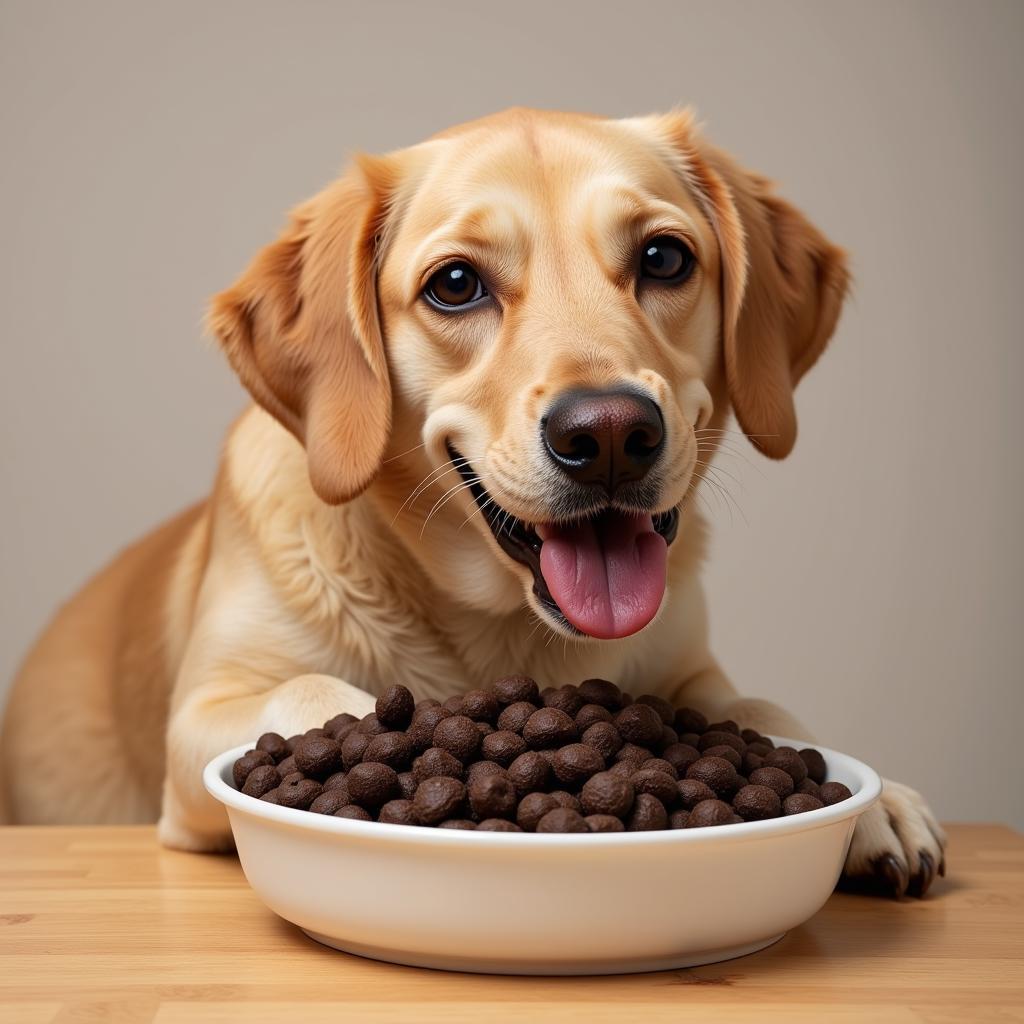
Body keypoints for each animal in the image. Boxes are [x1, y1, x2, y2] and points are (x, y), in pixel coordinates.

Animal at [0, 108, 942, 897]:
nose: (609, 434)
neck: (498, 628)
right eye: (455, 283)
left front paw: (878, 802)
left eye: (664, 258)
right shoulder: (201, 717)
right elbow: (313, 690)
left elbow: (761, 710)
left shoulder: (691, 673)